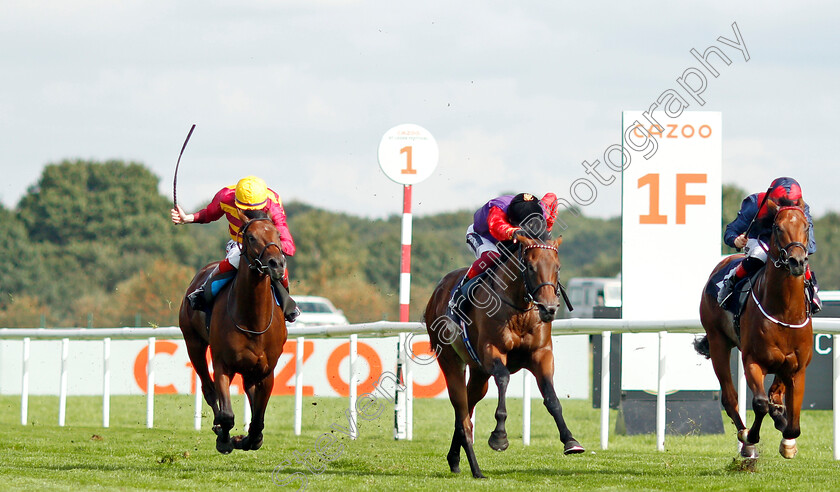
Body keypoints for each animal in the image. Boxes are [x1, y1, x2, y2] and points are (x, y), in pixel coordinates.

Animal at [178, 211, 288, 454]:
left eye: (277, 234)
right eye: (251, 237)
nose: (276, 264)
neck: (252, 320)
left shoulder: (266, 372)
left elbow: (257, 421)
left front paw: (246, 439)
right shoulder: (222, 364)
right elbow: (227, 414)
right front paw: (224, 438)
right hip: (194, 344)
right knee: (208, 389)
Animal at [424, 233, 580, 478]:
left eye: (558, 267)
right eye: (530, 266)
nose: (549, 308)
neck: (520, 309)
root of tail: (436, 293)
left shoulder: (541, 354)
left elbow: (551, 397)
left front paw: (570, 440)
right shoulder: (492, 350)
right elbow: (504, 378)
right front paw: (499, 437)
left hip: (478, 373)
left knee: (468, 406)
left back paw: (455, 459)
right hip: (450, 361)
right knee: (462, 413)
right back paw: (476, 470)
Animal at [700, 201, 812, 462]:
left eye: (806, 226)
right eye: (778, 227)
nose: (797, 262)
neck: (784, 312)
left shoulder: (797, 367)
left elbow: (793, 423)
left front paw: (787, 440)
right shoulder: (753, 360)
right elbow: (760, 403)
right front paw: (751, 438)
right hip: (718, 341)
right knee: (730, 397)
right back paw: (744, 436)